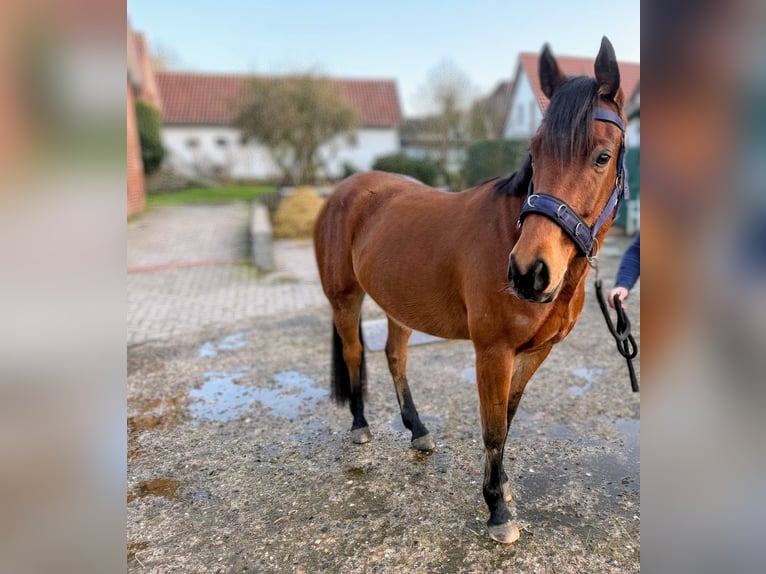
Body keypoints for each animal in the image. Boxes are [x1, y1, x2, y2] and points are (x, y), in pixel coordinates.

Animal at [314, 37, 629, 544]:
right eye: (535, 150)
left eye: (602, 156)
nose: (527, 273)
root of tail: (345, 190)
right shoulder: (493, 351)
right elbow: (493, 428)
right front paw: (497, 511)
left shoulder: (533, 352)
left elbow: (508, 417)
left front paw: (502, 485)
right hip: (345, 299)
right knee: (354, 356)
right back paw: (361, 426)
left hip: (399, 305)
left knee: (395, 357)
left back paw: (418, 431)